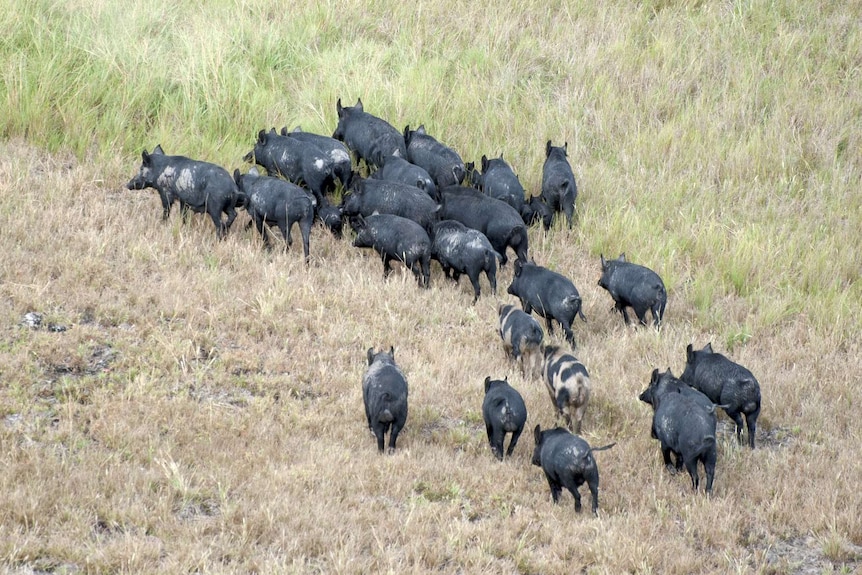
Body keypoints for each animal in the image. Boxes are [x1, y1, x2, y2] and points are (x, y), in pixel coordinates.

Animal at [640, 368, 724, 496]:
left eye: (650, 384)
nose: (640, 395)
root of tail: (705, 437)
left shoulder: (665, 442)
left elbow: (667, 458)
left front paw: (673, 472)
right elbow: (678, 460)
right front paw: (678, 472)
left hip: (690, 457)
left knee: (695, 476)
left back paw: (693, 491)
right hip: (711, 455)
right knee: (710, 474)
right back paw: (707, 493)